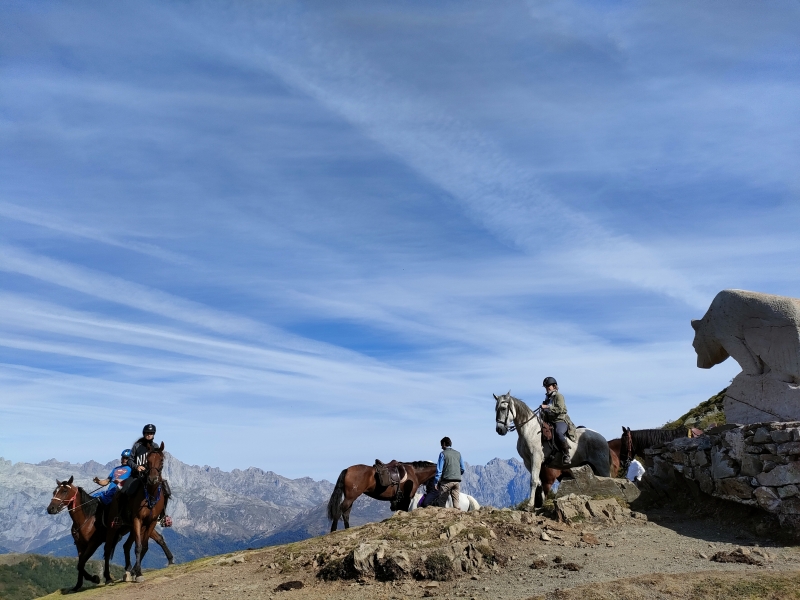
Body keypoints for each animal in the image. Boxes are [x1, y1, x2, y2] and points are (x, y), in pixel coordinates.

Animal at [103, 442, 167, 584]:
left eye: (161, 460)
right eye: (148, 460)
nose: (152, 479)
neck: (150, 495)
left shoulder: (151, 523)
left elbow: (144, 546)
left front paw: (136, 571)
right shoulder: (138, 520)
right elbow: (138, 546)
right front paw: (138, 573)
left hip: (130, 527)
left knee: (126, 546)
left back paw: (128, 570)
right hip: (113, 527)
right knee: (108, 548)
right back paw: (108, 578)